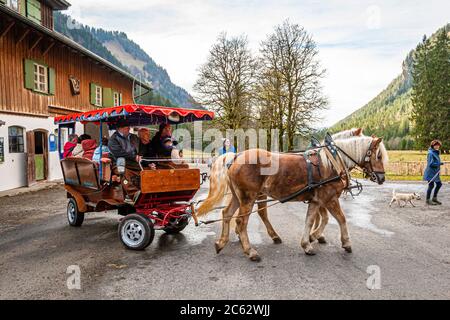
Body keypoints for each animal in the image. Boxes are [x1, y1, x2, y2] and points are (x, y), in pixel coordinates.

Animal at [196, 134, 386, 262]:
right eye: (378, 155)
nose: (382, 178)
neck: (332, 162)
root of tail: (236, 156)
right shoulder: (330, 198)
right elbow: (341, 219)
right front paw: (346, 243)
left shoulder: (316, 200)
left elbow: (311, 220)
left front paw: (308, 242)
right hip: (248, 197)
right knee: (241, 221)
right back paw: (250, 251)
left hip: (238, 196)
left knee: (227, 214)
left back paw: (221, 242)